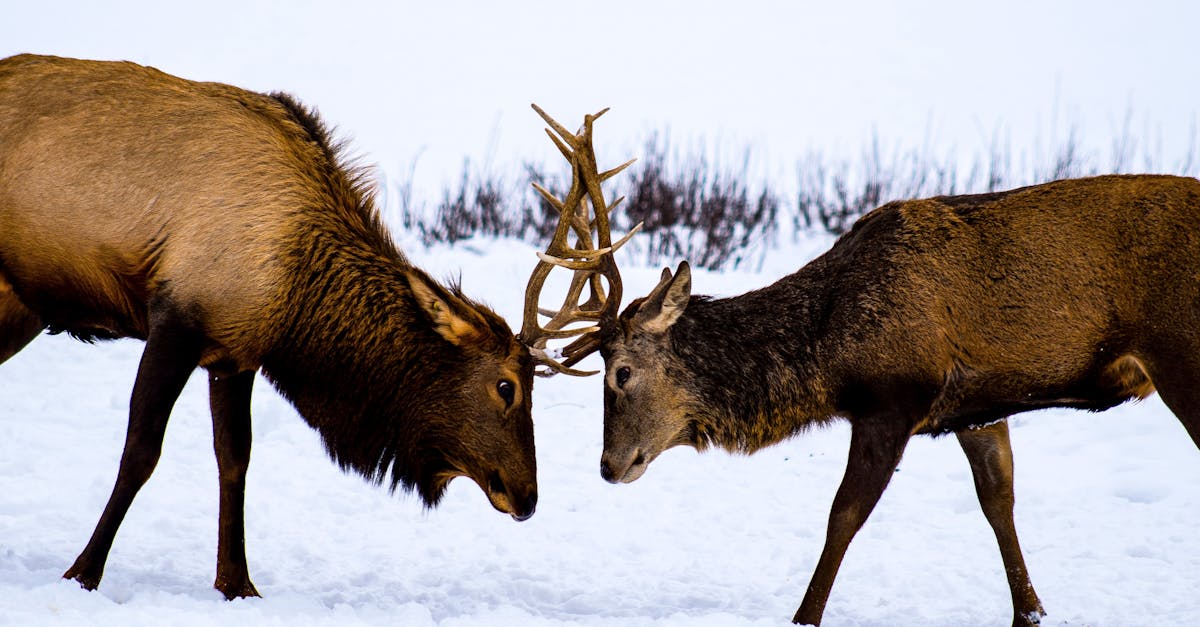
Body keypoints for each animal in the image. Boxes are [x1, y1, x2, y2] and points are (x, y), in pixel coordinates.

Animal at [0, 53, 539, 599]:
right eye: (506, 387)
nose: (528, 496)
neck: (295, 298)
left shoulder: (233, 354)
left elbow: (234, 457)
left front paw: (236, 583)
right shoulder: (176, 320)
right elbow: (141, 452)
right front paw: (83, 572)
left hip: (17, 308)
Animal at [525, 139, 1200, 625]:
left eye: (621, 372)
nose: (610, 465)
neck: (827, 355)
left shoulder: (892, 400)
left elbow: (842, 515)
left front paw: (803, 617)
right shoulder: (978, 407)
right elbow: (998, 503)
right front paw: (1030, 612)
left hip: (1181, 351)